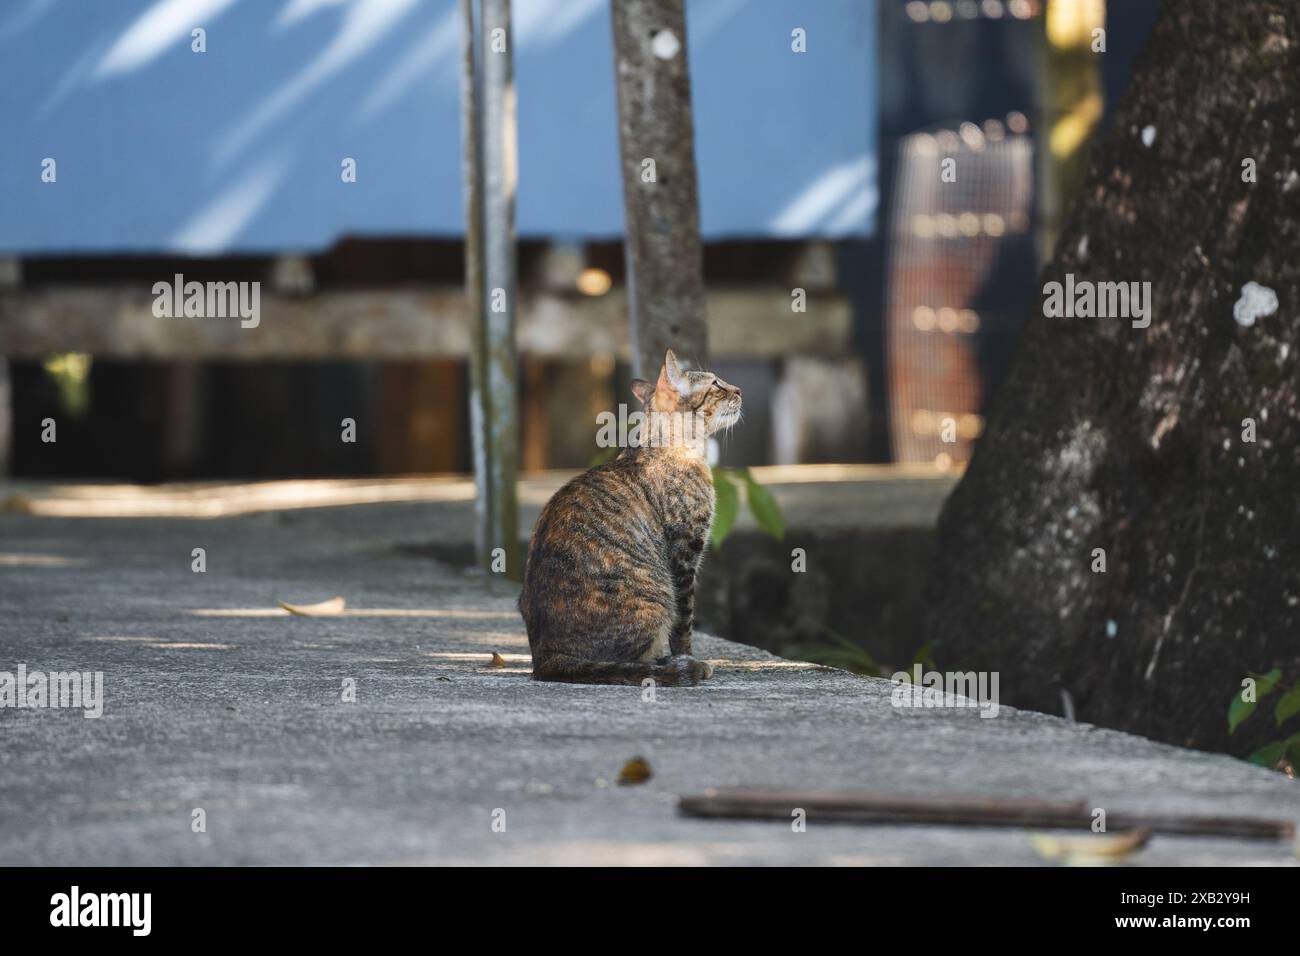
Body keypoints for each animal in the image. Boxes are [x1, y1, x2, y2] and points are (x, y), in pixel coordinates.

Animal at [517, 351, 743, 686]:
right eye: (716, 384)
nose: (738, 389)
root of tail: (545, 657)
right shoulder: (685, 553)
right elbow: (684, 624)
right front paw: (688, 659)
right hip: (657, 595)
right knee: (632, 661)